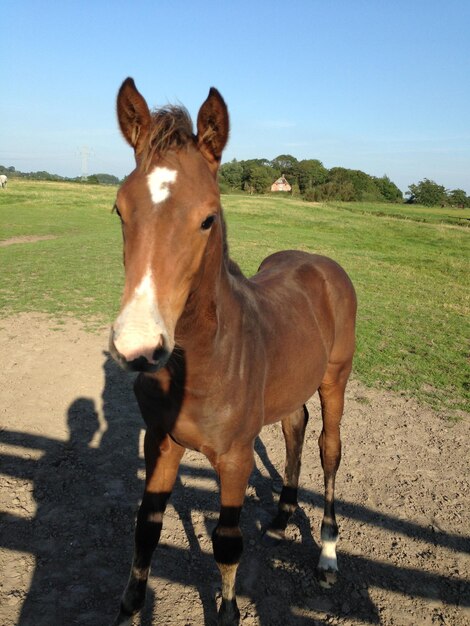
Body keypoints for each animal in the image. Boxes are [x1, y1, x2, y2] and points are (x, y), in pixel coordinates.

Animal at [108, 78, 354, 624]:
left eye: (208, 218)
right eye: (119, 210)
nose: (139, 345)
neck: (201, 363)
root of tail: (321, 263)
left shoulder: (236, 458)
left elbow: (225, 544)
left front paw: (228, 611)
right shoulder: (160, 441)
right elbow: (145, 530)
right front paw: (129, 608)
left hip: (335, 377)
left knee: (328, 447)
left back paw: (328, 553)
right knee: (294, 426)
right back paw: (283, 516)